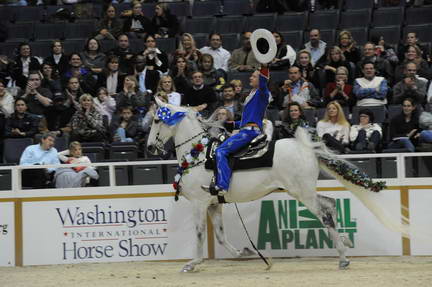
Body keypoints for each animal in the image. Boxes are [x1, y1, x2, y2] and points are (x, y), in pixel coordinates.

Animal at [148, 98, 408, 274]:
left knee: (324, 214)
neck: (199, 153)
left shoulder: (199, 204)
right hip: (304, 192)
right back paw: (344, 242)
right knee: (331, 204)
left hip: (303, 194)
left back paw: (343, 258)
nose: (150, 147)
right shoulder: (214, 204)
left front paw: (192, 264)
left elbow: (200, 234)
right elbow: (220, 237)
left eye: (157, 120)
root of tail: (306, 148)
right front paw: (246, 252)